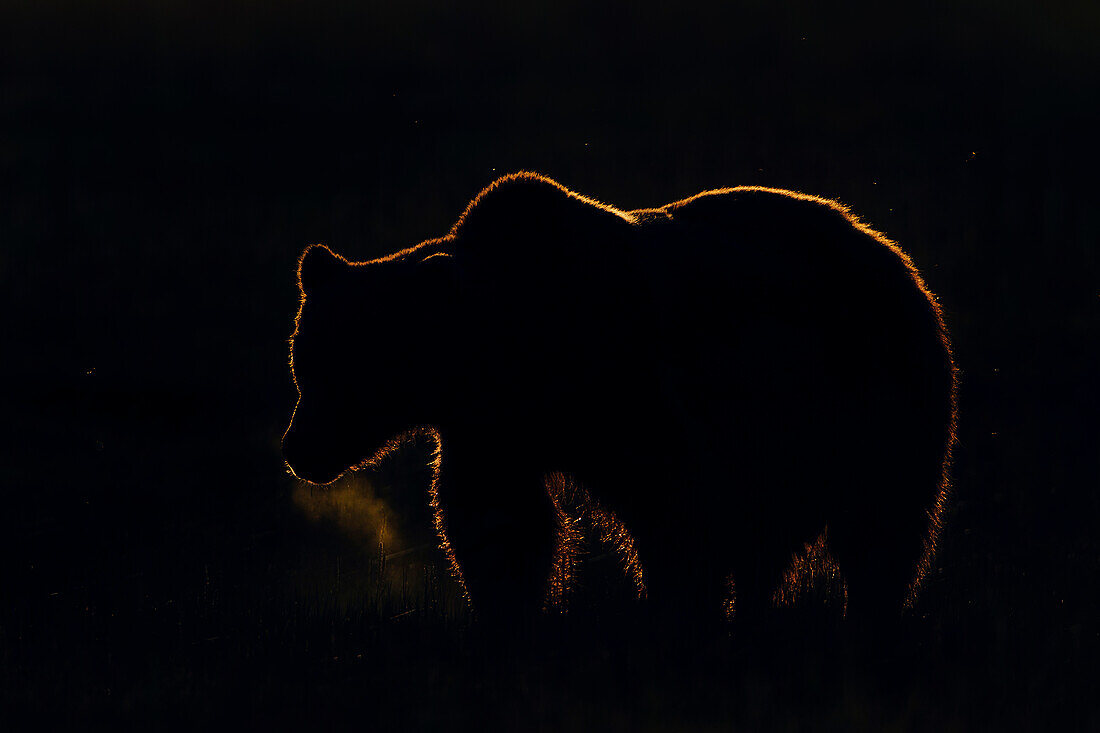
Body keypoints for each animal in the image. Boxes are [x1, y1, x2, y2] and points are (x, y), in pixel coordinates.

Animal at [281, 169, 954, 620]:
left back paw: (866, 615)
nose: (297, 449)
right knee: (774, 540)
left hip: (871, 399)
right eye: (302, 366)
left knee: (882, 527)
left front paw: (678, 609)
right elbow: (497, 523)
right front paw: (507, 610)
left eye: (336, 372)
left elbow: (677, 511)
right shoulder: (491, 429)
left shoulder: (634, 393)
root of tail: (894, 254)